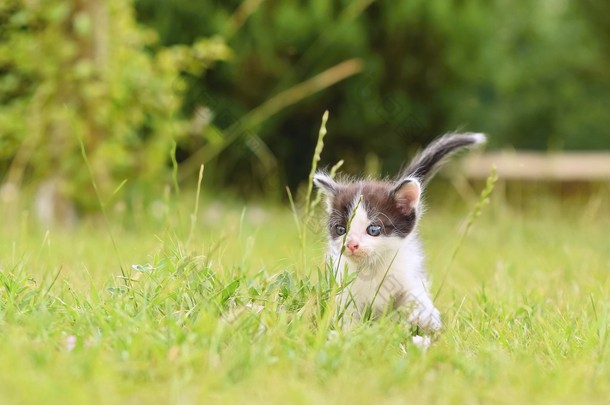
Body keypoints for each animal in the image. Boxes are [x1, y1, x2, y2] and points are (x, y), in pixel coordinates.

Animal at [314, 133, 484, 334]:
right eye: (341, 229)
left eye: (373, 229)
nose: (351, 244)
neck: (372, 268)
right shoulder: (344, 285)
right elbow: (347, 313)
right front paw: (346, 333)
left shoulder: (409, 274)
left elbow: (416, 294)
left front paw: (426, 317)